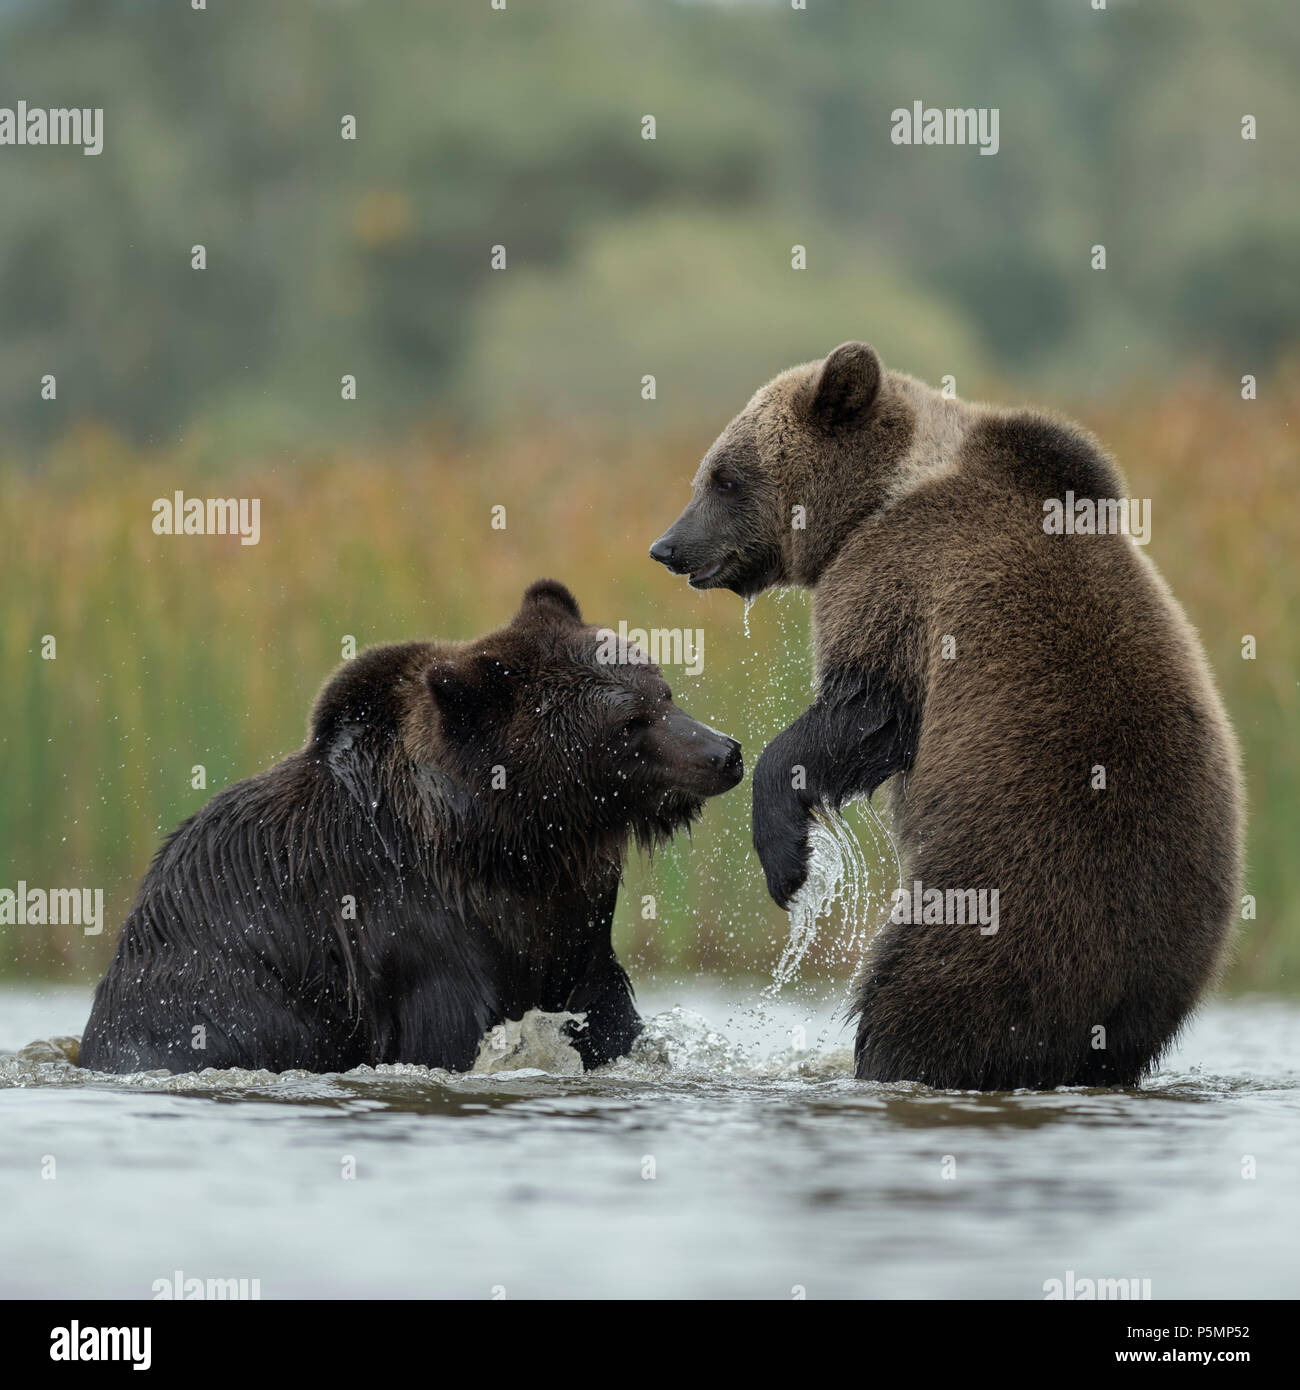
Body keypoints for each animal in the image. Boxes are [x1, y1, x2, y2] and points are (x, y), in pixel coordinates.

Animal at [81, 581, 739, 1078]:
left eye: (664, 691)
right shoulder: (409, 929)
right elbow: (445, 1033)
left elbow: (606, 1018)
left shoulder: (574, 928)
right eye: (628, 723)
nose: (723, 752)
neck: (514, 843)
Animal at [650, 341, 1240, 1089]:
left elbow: (865, 712)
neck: (874, 500)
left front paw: (787, 860)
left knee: (927, 994)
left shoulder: (898, 579)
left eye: (725, 478)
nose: (668, 547)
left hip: (1002, 894)